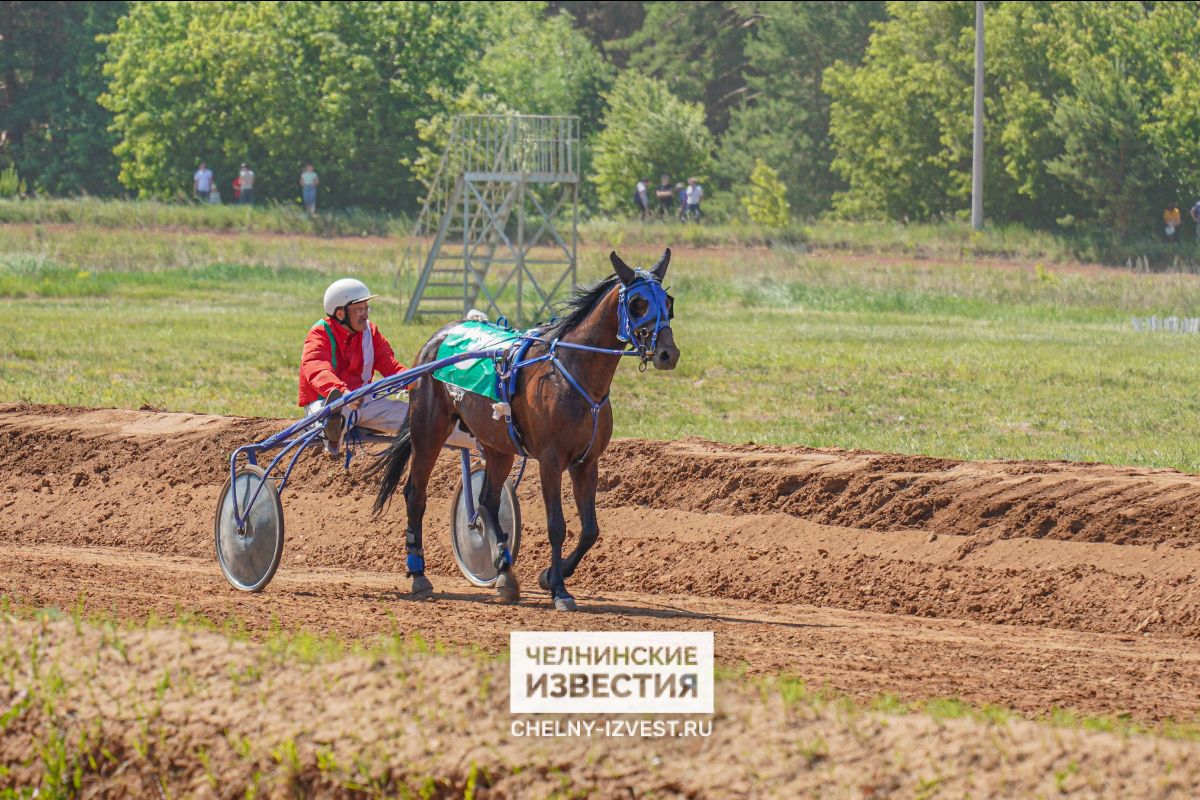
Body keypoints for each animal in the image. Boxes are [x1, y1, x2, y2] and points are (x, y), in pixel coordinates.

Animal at [369, 247, 681, 609]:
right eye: (637, 303)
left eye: (668, 301)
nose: (668, 353)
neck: (574, 376)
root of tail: (440, 335)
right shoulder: (551, 459)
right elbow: (557, 525)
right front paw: (560, 589)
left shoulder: (587, 462)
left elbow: (590, 530)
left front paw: (549, 576)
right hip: (428, 431)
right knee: (416, 494)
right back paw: (419, 574)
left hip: (497, 445)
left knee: (487, 500)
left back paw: (504, 572)